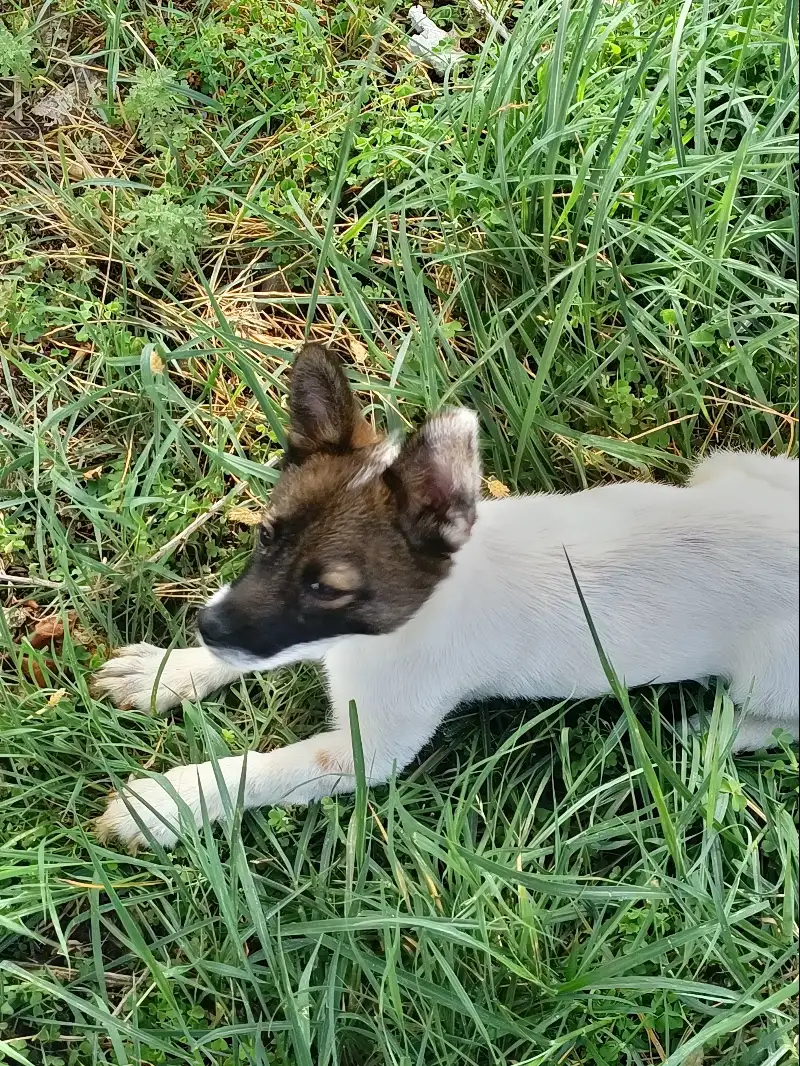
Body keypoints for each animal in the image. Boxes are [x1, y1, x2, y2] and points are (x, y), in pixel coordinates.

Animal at [92, 345, 797, 852]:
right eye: (265, 537)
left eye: (327, 587)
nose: (206, 627)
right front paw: (167, 672)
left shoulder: (365, 751)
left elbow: (256, 769)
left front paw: (167, 803)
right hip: (724, 465)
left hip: (765, 676)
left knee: (777, 724)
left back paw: (718, 731)